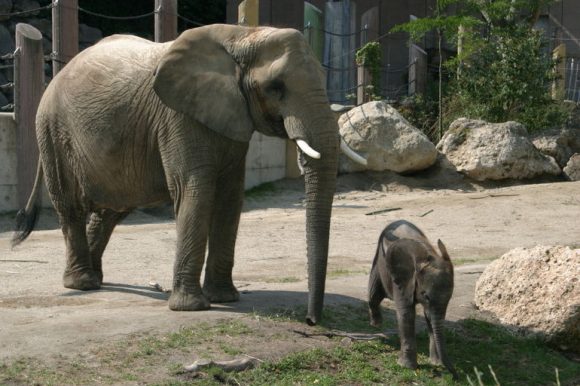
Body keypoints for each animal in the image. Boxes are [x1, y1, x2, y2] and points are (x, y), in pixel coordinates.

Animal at [11, 24, 364, 326]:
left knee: (113, 209)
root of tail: (56, 74)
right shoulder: (178, 116)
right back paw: (81, 284)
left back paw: (96, 279)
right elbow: (196, 190)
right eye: (276, 88)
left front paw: (225, 299)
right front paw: (192, 308)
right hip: (52, 131)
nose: (312, 320)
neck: (242, 37)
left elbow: (230, 197)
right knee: (71, 206)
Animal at [368, 219, 458, 378]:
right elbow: (406, 312)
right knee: (374, 295)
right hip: (379, 261)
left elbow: (429, 316)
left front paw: (435, 363)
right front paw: (406, 367)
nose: (455, 376)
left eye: (449, 298)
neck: (426, 255)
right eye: (425, 296)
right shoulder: (401, 279)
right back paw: (376, 324)